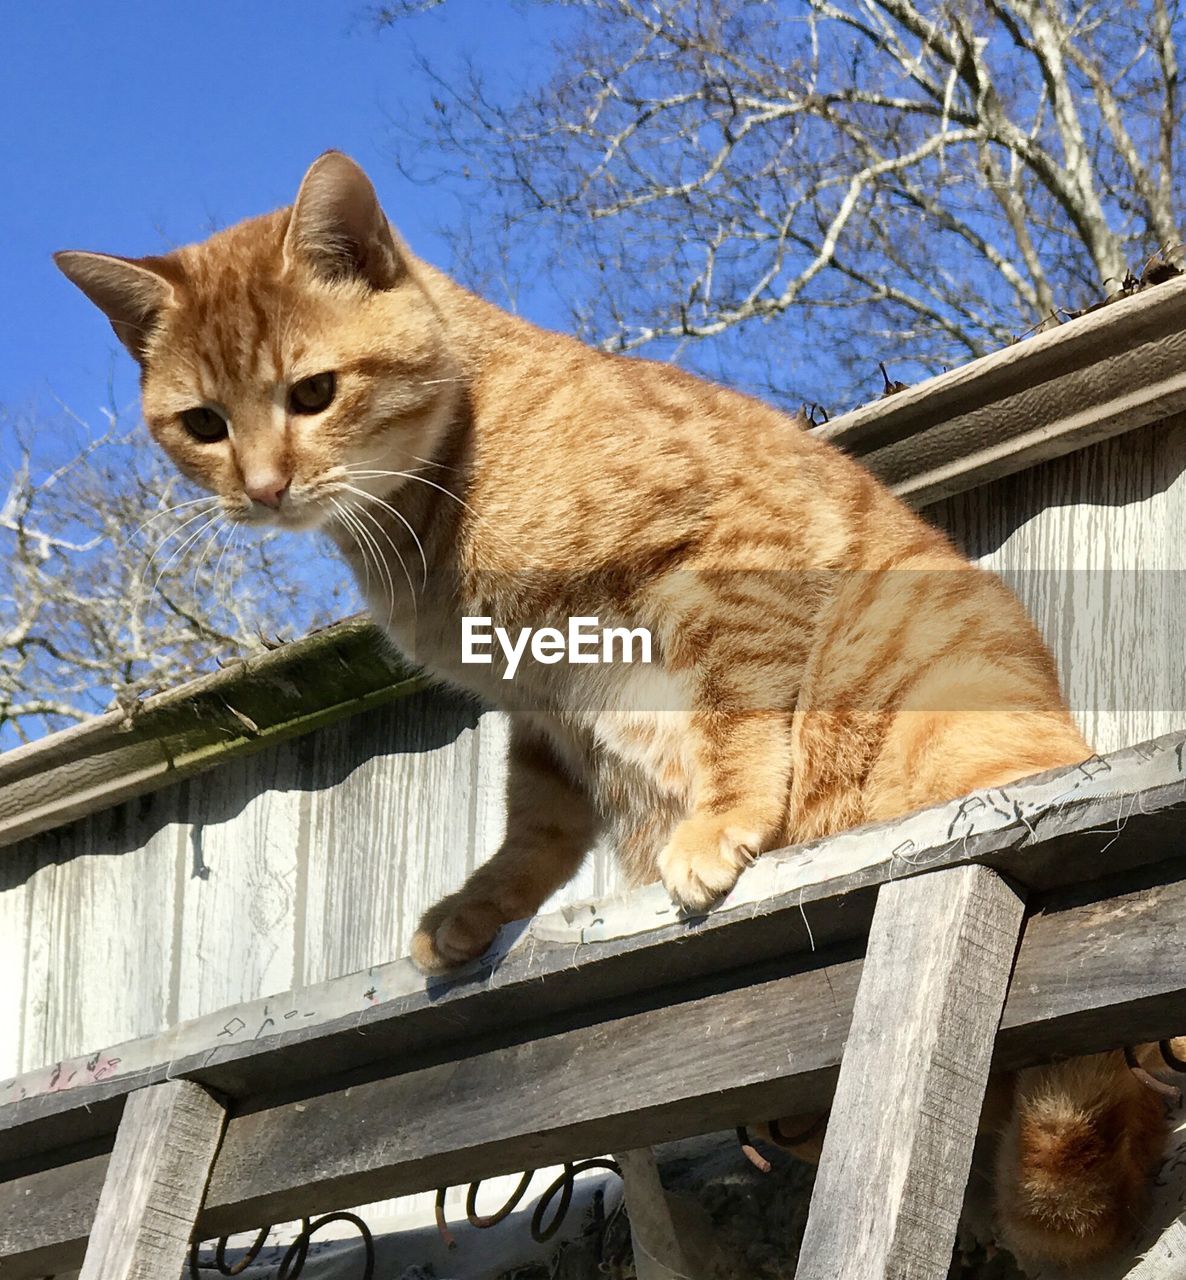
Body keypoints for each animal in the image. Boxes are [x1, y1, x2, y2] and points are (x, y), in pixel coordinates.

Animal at [57, 152, 1166, 1269]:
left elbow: (736, 711)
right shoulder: (544, 704)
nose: (263, 487)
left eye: (312, 393)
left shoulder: (730, 554)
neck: (439, 496)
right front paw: (471, 915)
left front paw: (722, 823)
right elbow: (535, 827)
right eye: (204, 423)